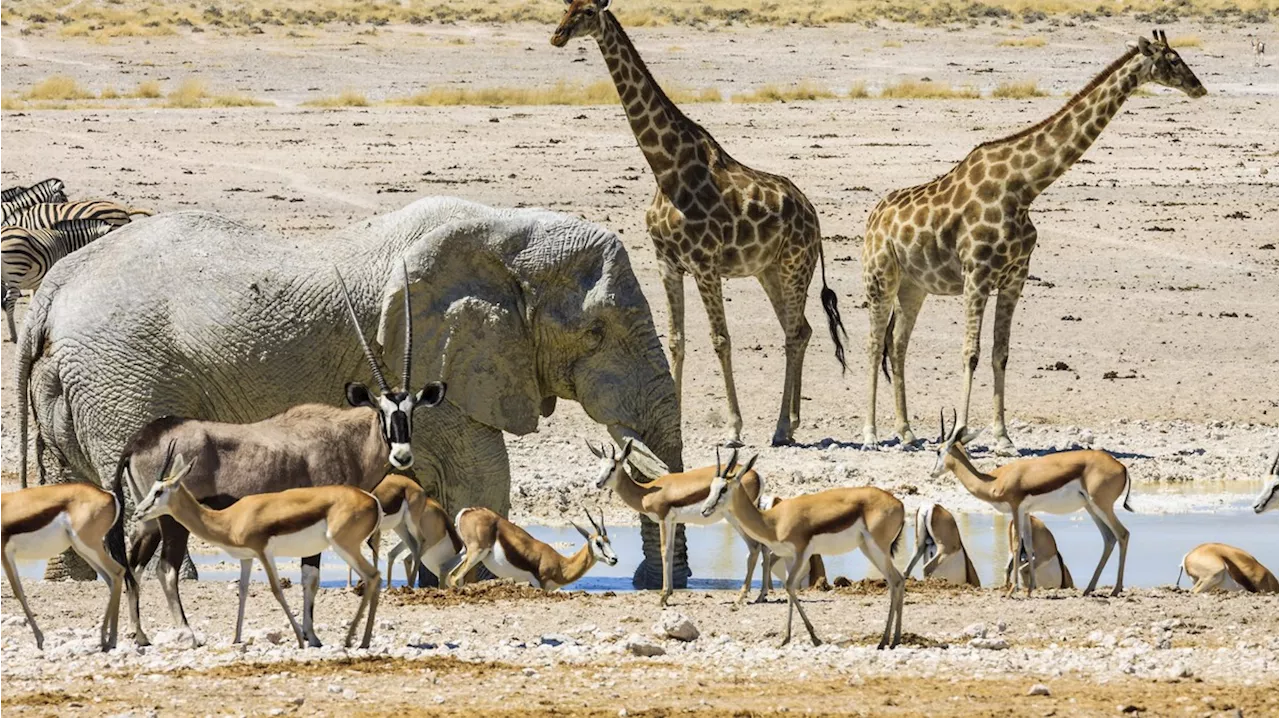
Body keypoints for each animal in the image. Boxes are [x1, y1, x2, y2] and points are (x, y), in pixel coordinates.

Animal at [15, 195, 691, 593]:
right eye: (597, 332)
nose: (656, 581)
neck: (504, 234)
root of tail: (54, 286)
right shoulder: (422, 357)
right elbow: (479, 475)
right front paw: (468, 581)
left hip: (78, 378)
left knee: (74, 476)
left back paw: (72, 579)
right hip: (122, 378)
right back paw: (175, 574)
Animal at [547, 0, 839, 447]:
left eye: (589, 11)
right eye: (566, 7)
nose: (558, 35)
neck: (666, 169)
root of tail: (814, 217)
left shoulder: (704, 264)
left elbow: (720, 339)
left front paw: (734, 427)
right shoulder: (668, 262)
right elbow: (676, 341)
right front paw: (676, 421)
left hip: (795, 266)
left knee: (793, 333)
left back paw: (779, 427)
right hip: (769, 271)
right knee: (801, 330)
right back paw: (791, 423)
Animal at [865, 32, 1203, 453]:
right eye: (1172, 60)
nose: (1199, 87)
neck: (1024, 188)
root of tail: (874, 217)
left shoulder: (1014, 278)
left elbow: (1000, 353)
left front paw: (1003, 437)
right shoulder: (977, 275)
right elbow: (971, 352)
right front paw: (960, 433)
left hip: (914, 286)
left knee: (897, 345)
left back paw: (907, 432)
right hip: (880, 276)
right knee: (874, 344)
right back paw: (871, 434)